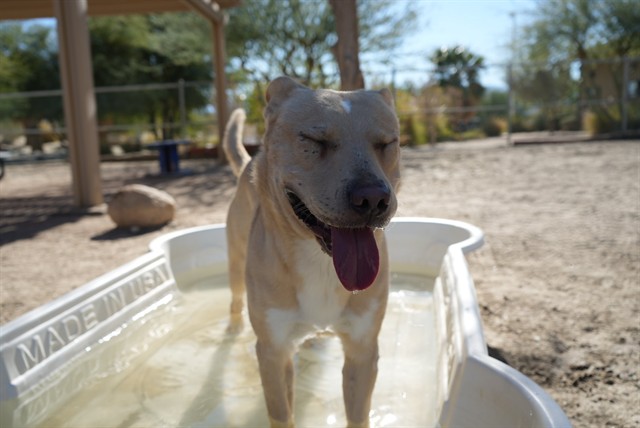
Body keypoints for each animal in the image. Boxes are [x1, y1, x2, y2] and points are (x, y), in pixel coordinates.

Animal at [223, 76, 401, 428]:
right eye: (314, 139)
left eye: (388, 143)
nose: (373, 198)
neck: (321, 262)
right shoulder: (273, 353)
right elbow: (281, 414)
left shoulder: (362, 350)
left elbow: (358, 414)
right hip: (235, 262)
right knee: (235, 297)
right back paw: (233, 327)